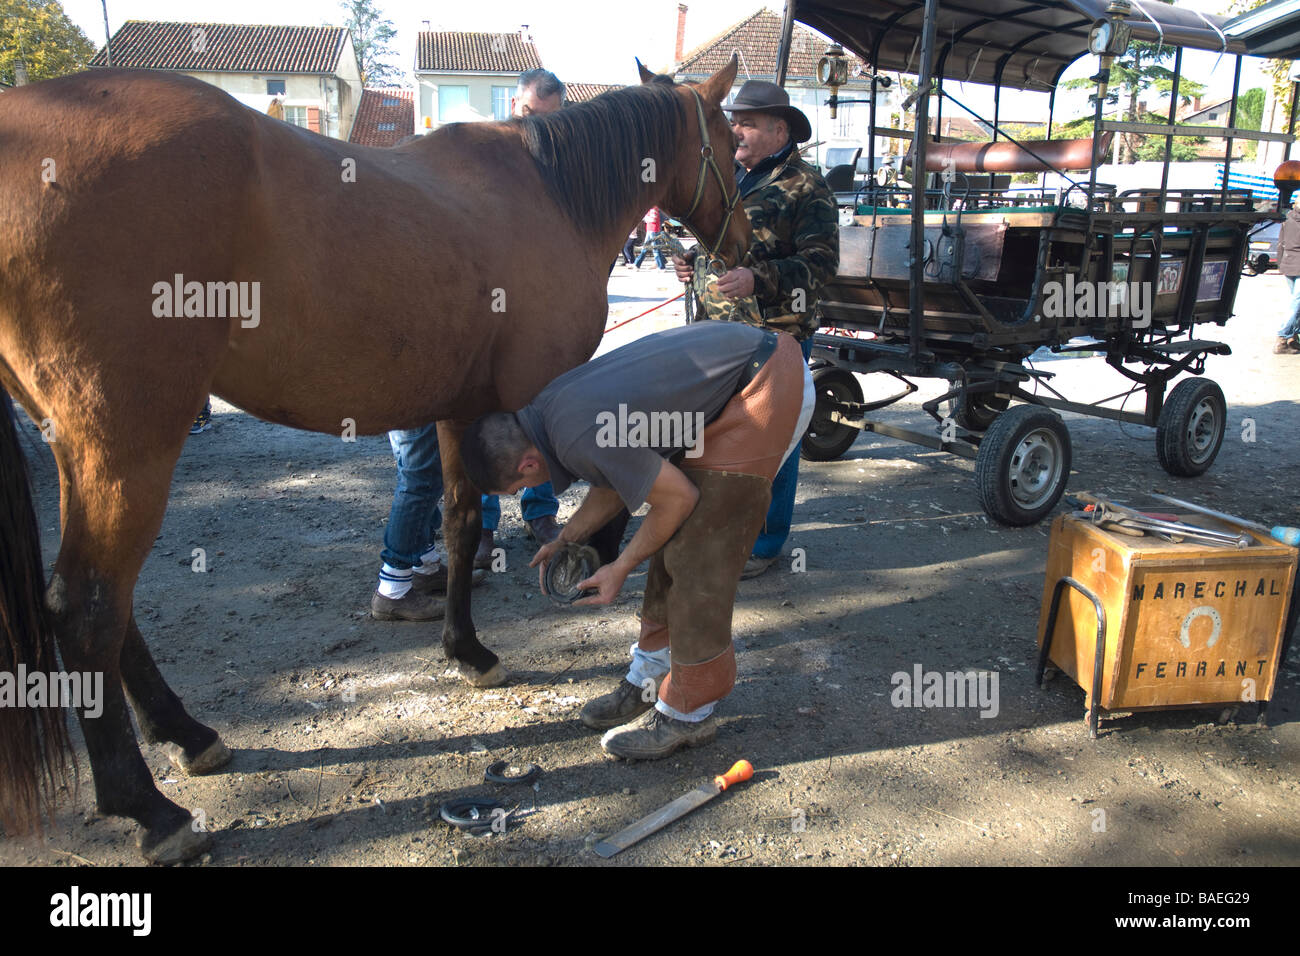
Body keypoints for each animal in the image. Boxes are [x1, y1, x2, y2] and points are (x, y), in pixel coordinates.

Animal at [0, 55, 748, 863]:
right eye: (734, 146)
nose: (741, 246)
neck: (551, 195)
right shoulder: (528, 399)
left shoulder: (462, 410)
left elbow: (459, 524)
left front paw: (467, 650)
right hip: (128, 442)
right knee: (88, 606)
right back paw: (149, 808)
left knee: (110, 607)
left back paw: (187, 735)